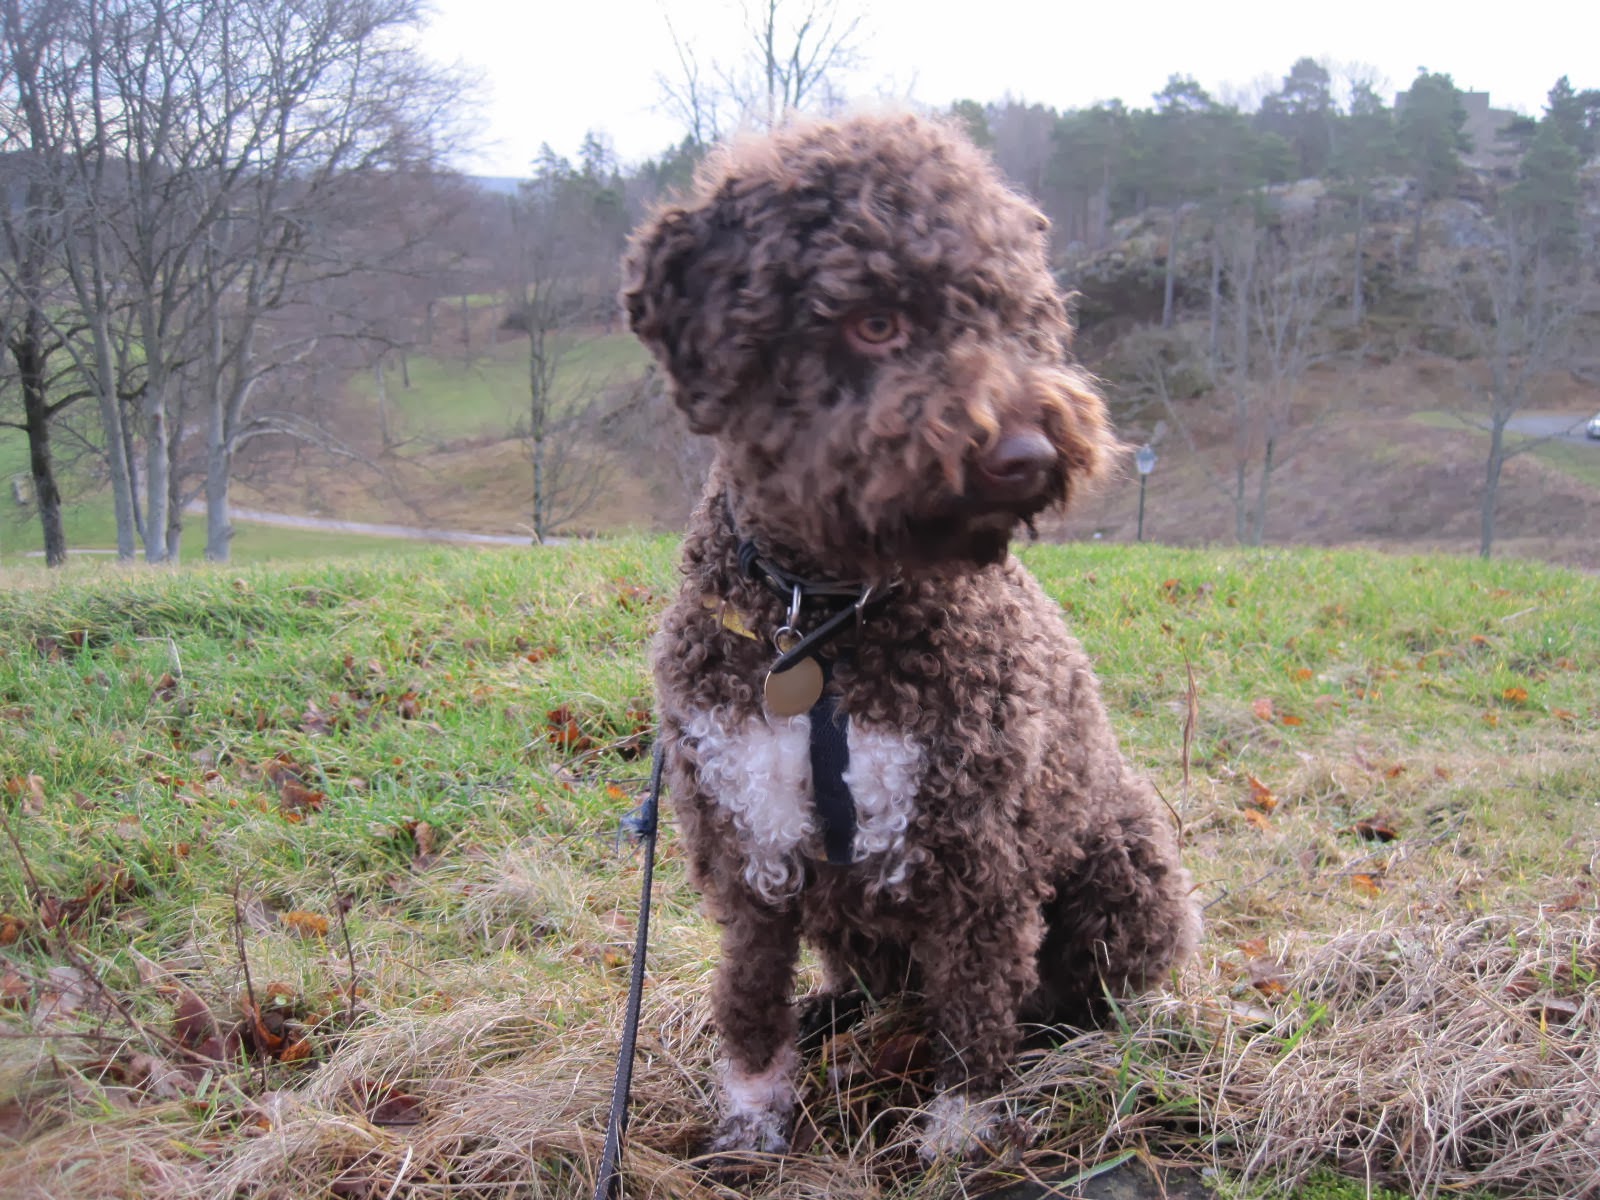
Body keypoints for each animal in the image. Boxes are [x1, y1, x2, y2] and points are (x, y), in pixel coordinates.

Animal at [617, 115, 1196, 1164]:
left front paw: (962, 1133)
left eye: (1014, 317)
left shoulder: (977, 852)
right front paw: (752, 1120)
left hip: (1123, 867)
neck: (825, 620)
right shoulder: (748, 837)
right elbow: (749, 998)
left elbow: (973, 1008)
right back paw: (831, 1015)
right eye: (873, 321)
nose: (1028, 453)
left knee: (1070, 995)